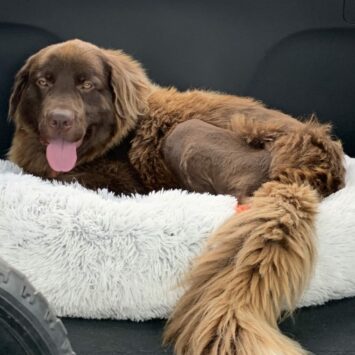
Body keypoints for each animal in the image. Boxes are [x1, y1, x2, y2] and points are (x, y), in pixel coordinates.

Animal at [9, 40, 346, 355]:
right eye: (44, 81)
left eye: (87, 85)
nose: (59, 120)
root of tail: (312, 156)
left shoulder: (118, 180)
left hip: (185, 133)